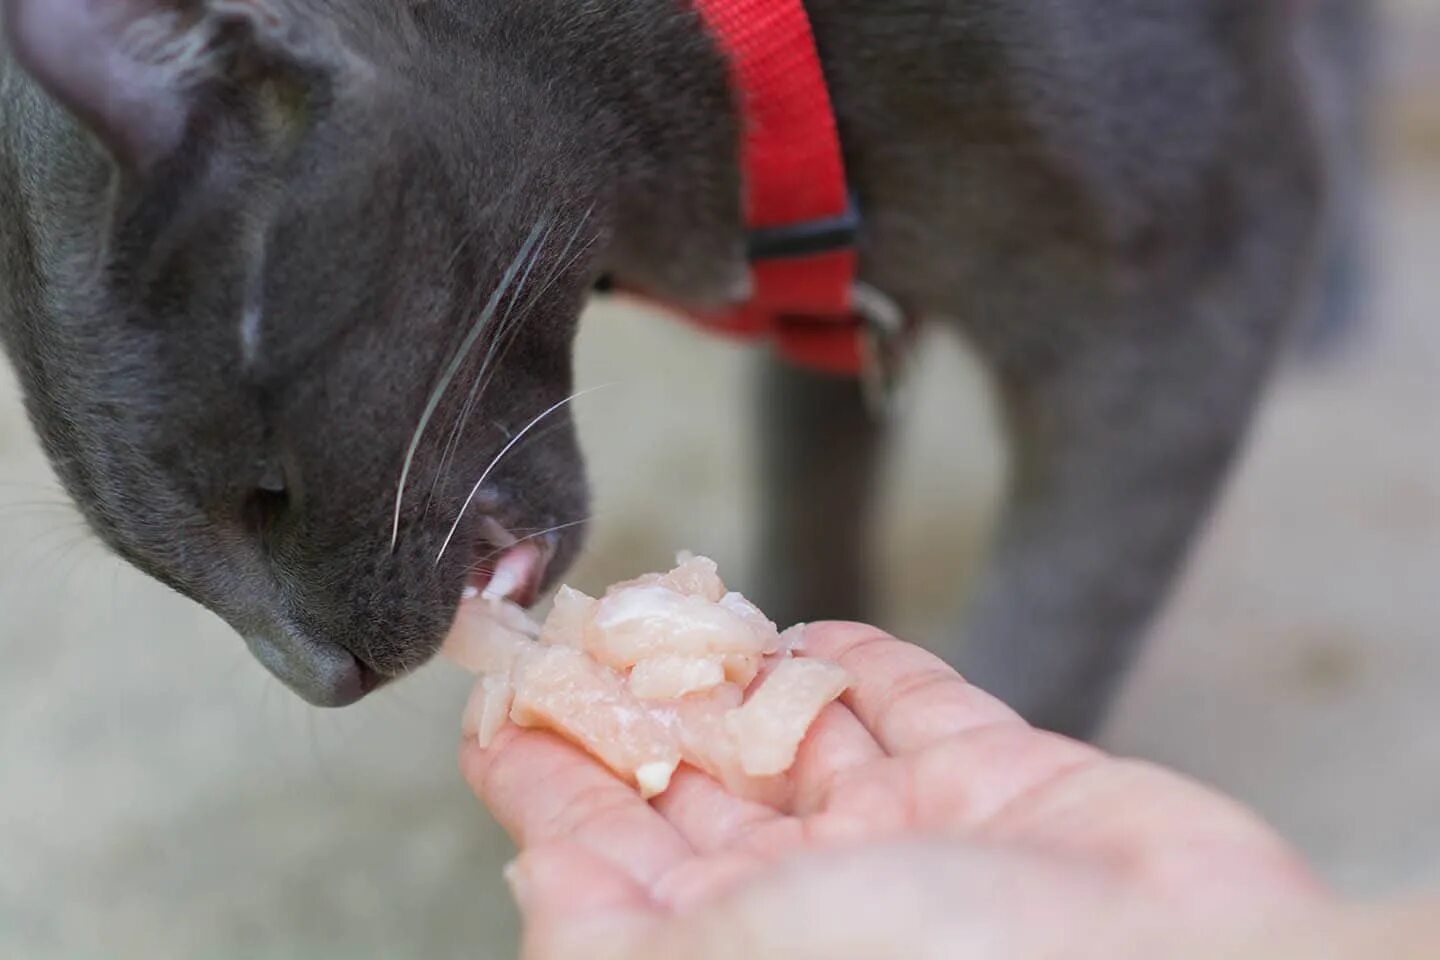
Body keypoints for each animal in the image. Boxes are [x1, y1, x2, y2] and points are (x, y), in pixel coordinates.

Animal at [0, 0, 1370, 742]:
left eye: (265, 493)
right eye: (152, 566)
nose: (317, 683)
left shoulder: (1190, 275)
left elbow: (1054, 629)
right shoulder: (834, 319)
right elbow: (813, 483)